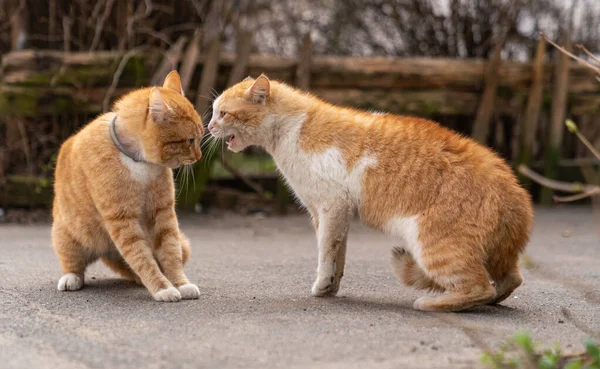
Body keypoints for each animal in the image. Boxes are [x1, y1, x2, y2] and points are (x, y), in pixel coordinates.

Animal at [52, 71, 202, 302]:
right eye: (190, 140)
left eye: (200, 136)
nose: (199, 157)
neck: (138, 162)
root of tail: (106, 252)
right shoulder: (122, 220)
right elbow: (141, 257)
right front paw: (162, 288)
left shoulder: (163, 213)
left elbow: (170, 252)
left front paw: (180, 284)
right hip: (66, 235)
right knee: (73, 263)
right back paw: (71, 278)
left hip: (183, 244)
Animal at [209, 74, 532, 310]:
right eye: (213, 113)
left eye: (223, 113)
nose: (210, 127)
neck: (292, 129)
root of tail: (516, 192)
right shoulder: (335, 215)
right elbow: (337, 255)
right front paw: (331, 287)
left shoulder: (331, 207)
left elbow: (325, 252)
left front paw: (322, 285)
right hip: (497, 257)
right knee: (509, 280)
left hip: (433, 245)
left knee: (478, 287)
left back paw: (433, 303)